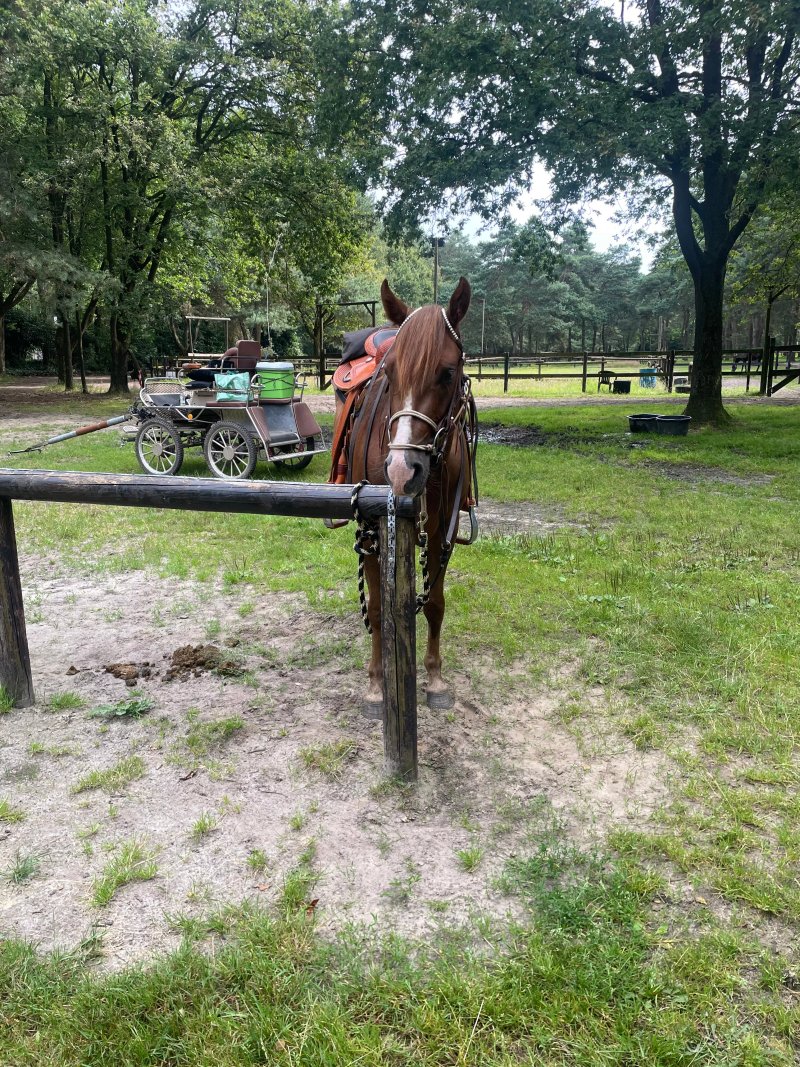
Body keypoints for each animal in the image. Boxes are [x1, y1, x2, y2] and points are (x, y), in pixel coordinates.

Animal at [342, 277, 478, 717]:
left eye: (448, 372)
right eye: (389, 372)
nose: (403, 470)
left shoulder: (442, 530)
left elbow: (434, 602)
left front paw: (434, 679)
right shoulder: (369, 525)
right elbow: (378, 608)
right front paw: (375, 684)